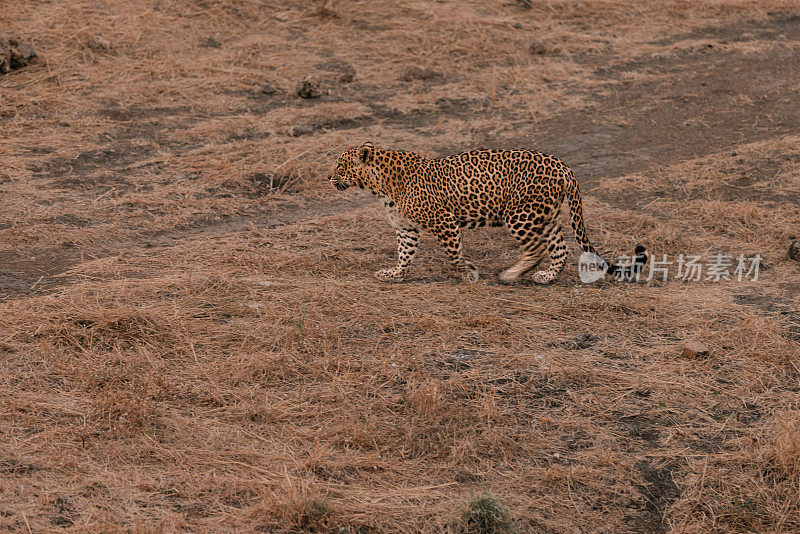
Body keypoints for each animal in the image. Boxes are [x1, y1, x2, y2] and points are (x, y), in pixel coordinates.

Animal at [328, 142, 648, 284]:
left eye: (341, 165)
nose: (328, 177)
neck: (379, 186)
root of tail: (564, 167)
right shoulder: (406, 229)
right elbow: (404, 254)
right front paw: (394, 274)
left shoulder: (445, 221)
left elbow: (453, 254)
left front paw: (469, 272)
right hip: (547, 216)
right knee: (560, 248)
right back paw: (546, 276)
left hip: (520, 214)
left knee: (536, 249)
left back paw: (511, 274)